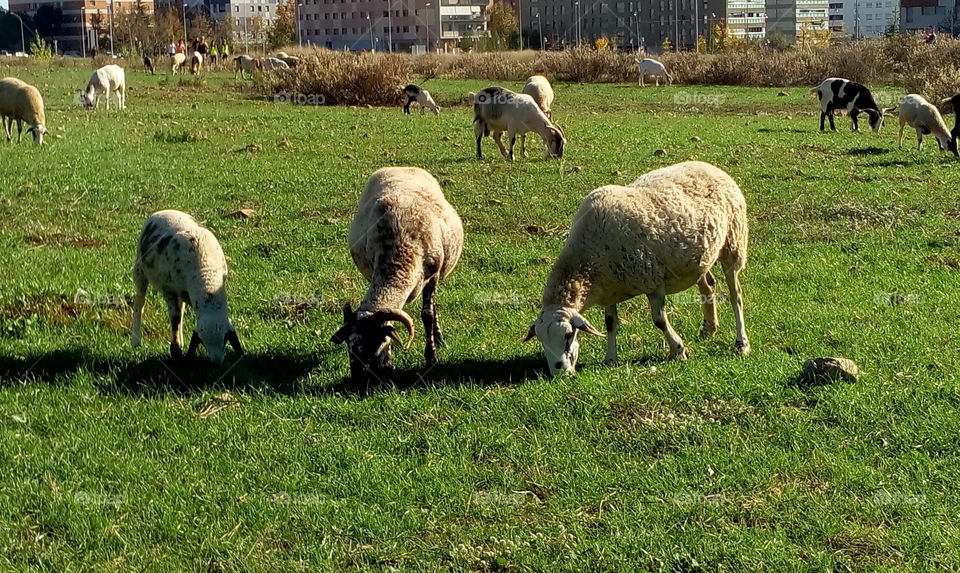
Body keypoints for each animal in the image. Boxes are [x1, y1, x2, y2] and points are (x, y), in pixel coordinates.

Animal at [131, 209, 243, 364]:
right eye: (202, 341)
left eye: (225, 338)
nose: (216, 362)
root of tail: (162, 211)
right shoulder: (168, 289)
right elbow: (175, 317)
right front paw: (176, 351)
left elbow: (179, 315)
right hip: (139, 269)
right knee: (139, 302)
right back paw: (135, 339)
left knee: (182, 308)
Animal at [330, 167, 463, 383]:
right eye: (350, 349)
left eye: (374, 343)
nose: (359, 382)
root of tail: (402, 166)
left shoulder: (432, 277)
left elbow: (428, 314)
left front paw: (431, 357)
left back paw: (438, 337)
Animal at [525, 161, 750, 377]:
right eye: (541, 340)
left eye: (568, 334)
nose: (559, 373)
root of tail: (710, 166)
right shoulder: (610, 289)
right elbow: (610, 323)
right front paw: (610, 359)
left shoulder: (652, 282)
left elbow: (659, 320)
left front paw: (678, 350)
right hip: (699, 259)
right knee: (708, 286)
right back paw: (708, 329)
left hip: (733, 243)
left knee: (735, 295)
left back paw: (742, 343)